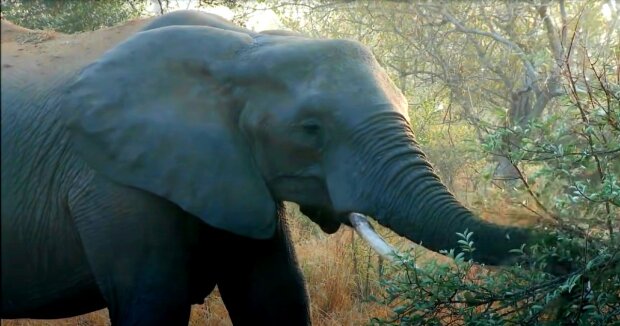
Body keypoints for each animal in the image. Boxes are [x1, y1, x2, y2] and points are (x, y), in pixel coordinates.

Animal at [2, 10, 536, 326]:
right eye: (310, 129)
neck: (242, 47)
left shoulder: (233, 175)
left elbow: (276, 297)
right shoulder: (112, 182)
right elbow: (152, 304)